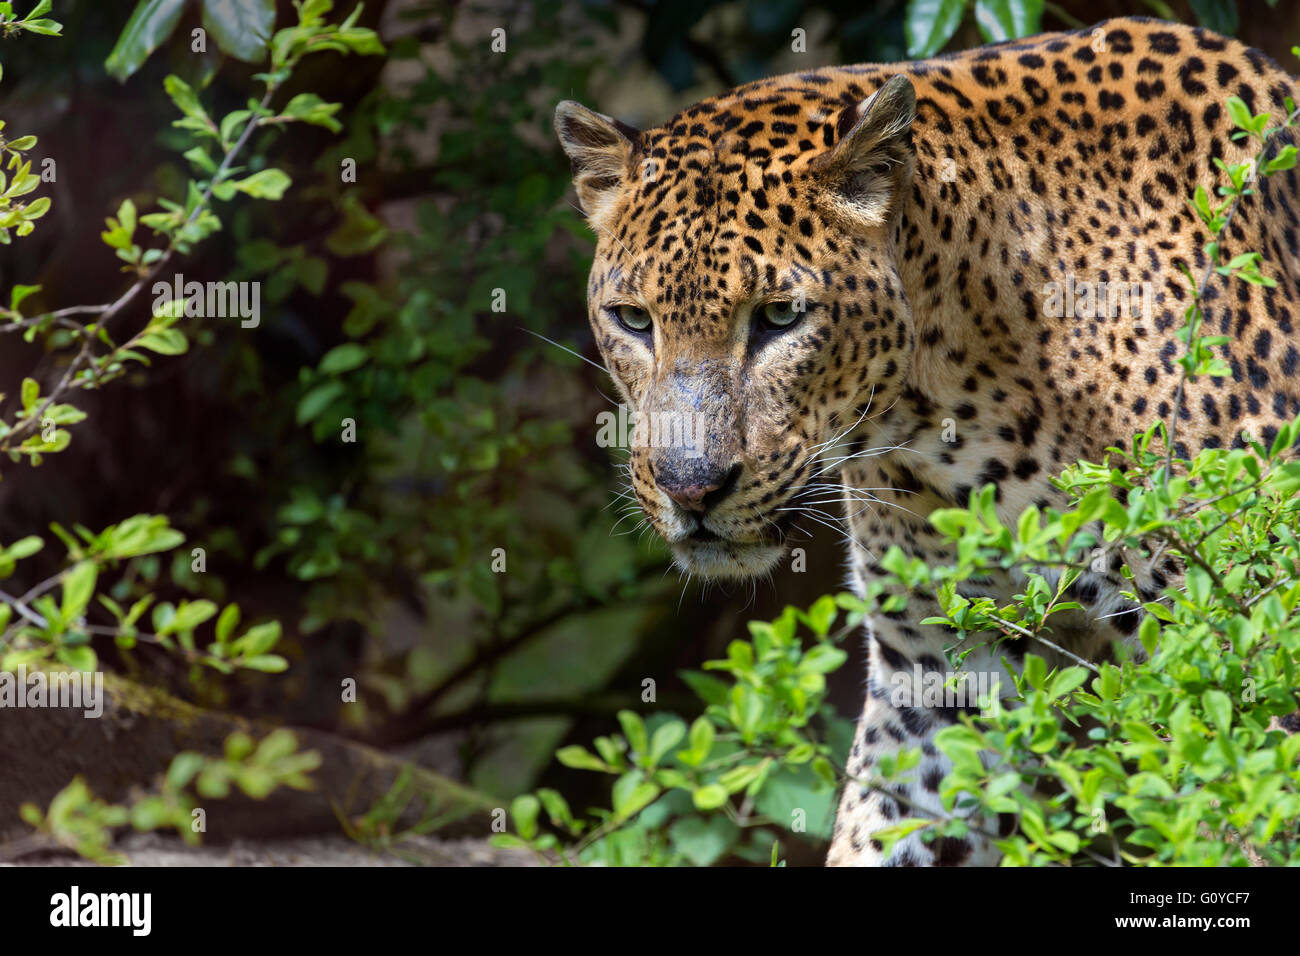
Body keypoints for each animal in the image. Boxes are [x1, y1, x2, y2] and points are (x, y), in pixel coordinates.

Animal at [553, 14, 1300, 868]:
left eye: (779, 316)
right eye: (632, 320)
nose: (691, 487)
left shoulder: (1241, 649)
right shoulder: (935, 676)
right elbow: (886, 823)